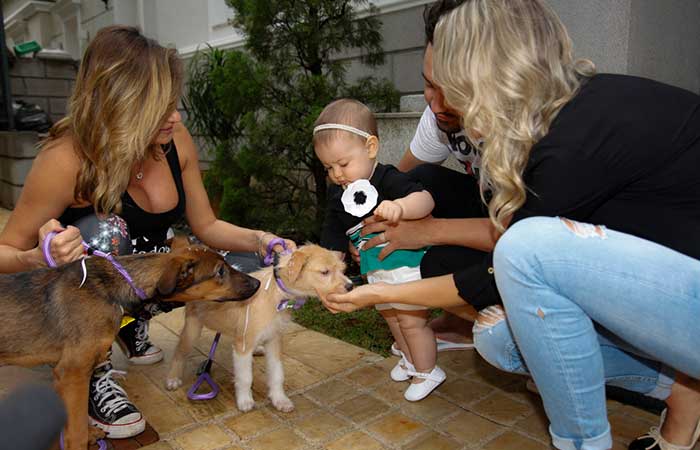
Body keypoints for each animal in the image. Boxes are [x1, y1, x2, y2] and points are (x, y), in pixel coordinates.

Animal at [0, 245, 260, 450]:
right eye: (220, 271)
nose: (257, 282)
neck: (112, 287)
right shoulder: (72, 372)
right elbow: (75, 428)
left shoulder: (76, 372)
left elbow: (78, 417)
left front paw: (91, 433)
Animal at [165, 244, 353, 412]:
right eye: (325, 272)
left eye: (342, 269)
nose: (351, 286)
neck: (276, 295)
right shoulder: (243, 346)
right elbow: (245, 377)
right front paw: (245, 401)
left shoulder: (274, 340)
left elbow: (277, 373)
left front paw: (280, 399)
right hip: (192, 328)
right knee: (180, 351)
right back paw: (173, 378)